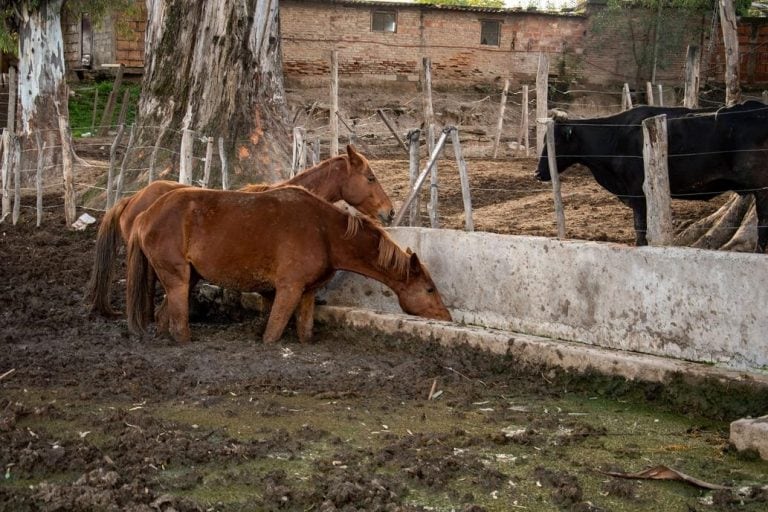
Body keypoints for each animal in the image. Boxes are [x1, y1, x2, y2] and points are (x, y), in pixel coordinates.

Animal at [125, 186, 450, 342]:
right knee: (178, 323)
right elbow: (273, 332)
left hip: (188, 278)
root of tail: (145, 215)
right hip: (178, 280)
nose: (446, 317)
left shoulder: (306, 294)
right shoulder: (288, 289)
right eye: (430, 289)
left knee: (164, 316)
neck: (324, 232)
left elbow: (305, 332)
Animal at [536, 100, 768, 252]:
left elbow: (640, 227)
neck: (613, 136)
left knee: (763, 222)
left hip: (762, 188)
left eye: (555, 142)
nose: (537, 173)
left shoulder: (637, 191)